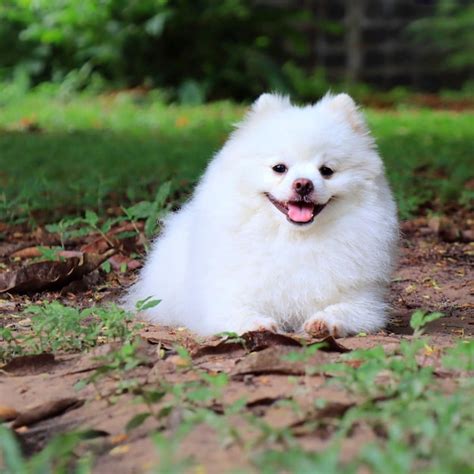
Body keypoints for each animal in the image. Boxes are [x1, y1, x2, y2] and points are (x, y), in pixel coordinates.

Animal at [125, 92, 396, 336]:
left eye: (327, 170)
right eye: (279, 168)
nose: (303, 184)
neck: (293, 239)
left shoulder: (363, 302)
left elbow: (343, 310)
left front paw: (324, 321)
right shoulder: (221, 297)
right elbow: (237, 311)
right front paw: (256, 324)